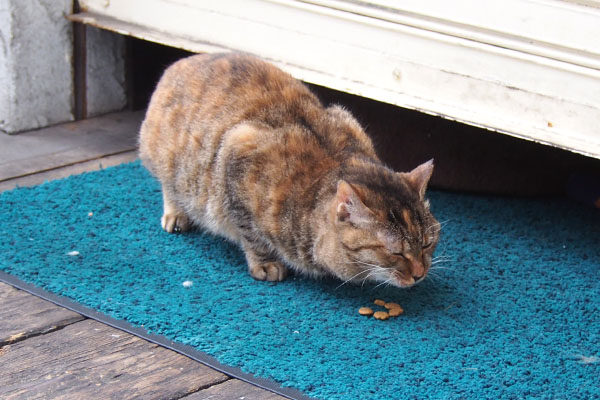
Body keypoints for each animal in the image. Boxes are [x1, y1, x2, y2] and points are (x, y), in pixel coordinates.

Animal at [141, 53, 440, 288]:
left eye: (427, 243)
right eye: (396, 252)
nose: (420, 273)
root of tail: (183, 61)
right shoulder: (236, 155)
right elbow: (251, 233)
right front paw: (265, 262)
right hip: (168, 159)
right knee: (170, 186)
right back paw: (176, 213)